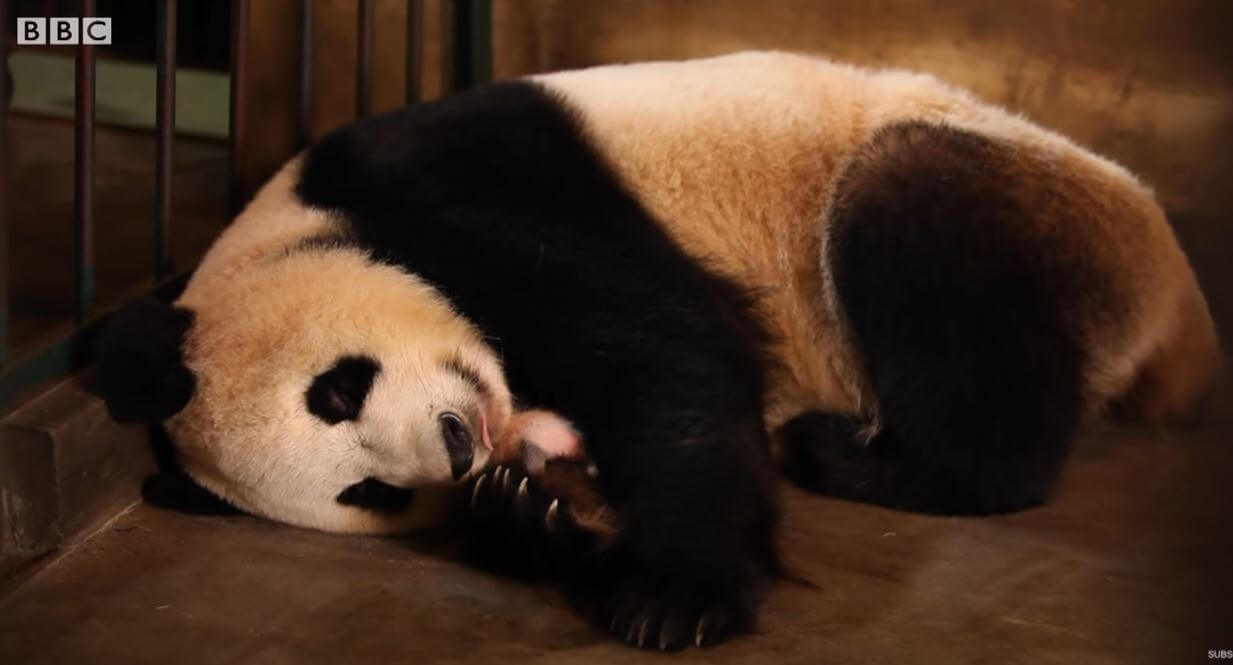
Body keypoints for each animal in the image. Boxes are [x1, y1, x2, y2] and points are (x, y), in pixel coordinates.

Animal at [101, 53, 1218, 656]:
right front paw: (535, 513)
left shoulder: (452, 183)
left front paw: (676, 593)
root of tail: (1176, 303)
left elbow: (665, 344)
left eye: (336, 390)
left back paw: (862, 456)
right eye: (369, 493)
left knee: (917, 230)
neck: (297, 217)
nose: (459, 445)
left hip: (1019, 199)